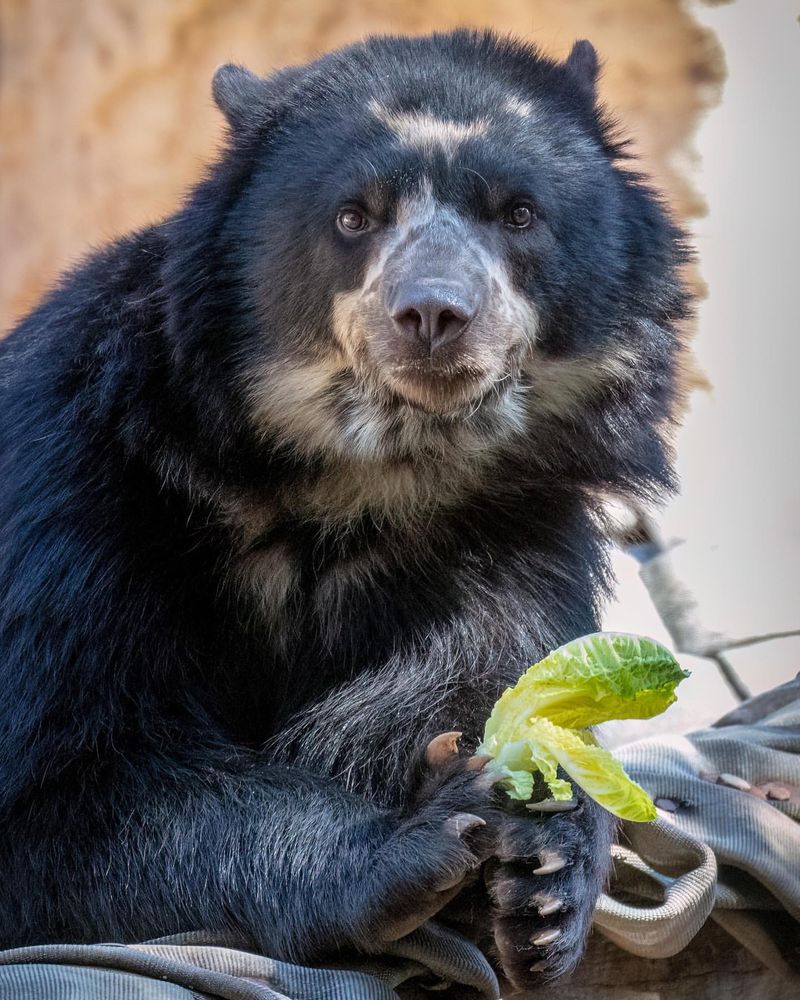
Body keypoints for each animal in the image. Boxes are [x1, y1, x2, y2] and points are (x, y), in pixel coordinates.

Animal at [0, 29, 688, 992]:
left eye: (519, 214)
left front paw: (548, 870)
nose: (433, 314)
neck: (359, 481)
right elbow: (63, 787)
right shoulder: (72, 488)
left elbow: (477, 672)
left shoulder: (515, 539)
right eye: (353, 217)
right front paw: (419, 839)